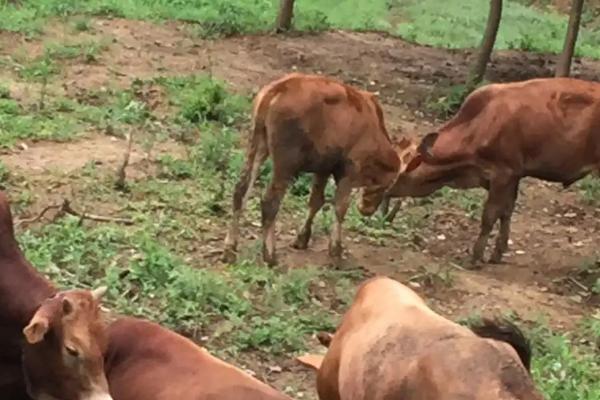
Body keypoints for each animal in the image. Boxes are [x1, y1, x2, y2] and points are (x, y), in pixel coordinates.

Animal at [223, 72, 420, 266]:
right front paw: (335, 252)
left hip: (257, 144)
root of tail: (277, 89)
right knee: (270, 202)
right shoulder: (348, 170)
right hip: (286, 163)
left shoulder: (323, 167)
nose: (367, 209)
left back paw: (230, 249)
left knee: (241, 190)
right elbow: (340, 207)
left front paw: (302, 239)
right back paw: (270, 255)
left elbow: (316, 201)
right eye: (388, 186)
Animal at [382, 78, 600, 266]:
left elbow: (489, 215)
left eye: (398, 174)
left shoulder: (503, 174)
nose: (383, 192)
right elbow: (506, 212)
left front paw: (476, 256)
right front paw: (497, 253)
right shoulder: (512, 176)